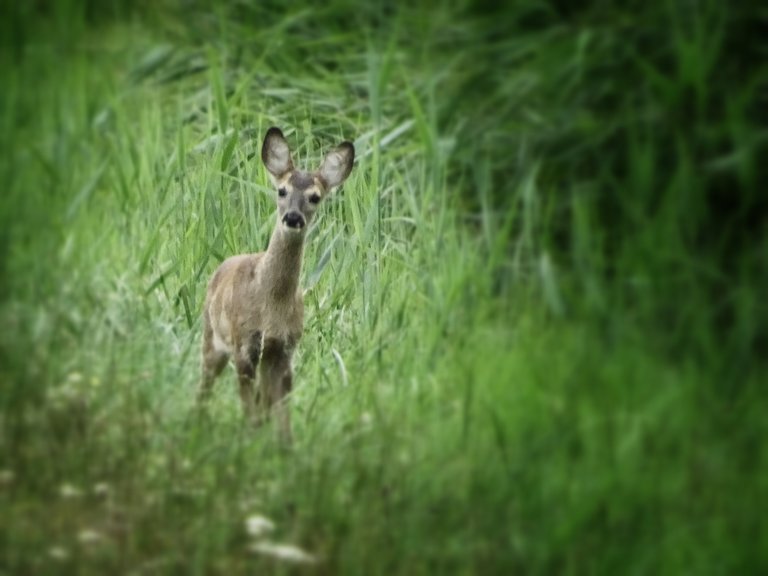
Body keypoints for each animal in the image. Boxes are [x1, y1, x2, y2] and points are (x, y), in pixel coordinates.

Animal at [196, 128, 356, 444]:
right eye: (281, 191)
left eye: (315, 197)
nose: (292, 217)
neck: (271, 304)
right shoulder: (244, 342)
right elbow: (250, 407)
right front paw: (250, 441)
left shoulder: (284, 348)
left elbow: (281, 409)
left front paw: (284, 446)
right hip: (212, 336)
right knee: (205, 384)